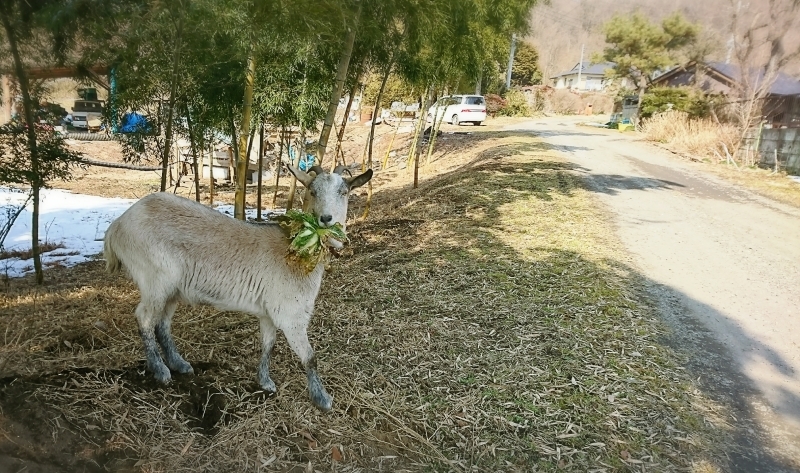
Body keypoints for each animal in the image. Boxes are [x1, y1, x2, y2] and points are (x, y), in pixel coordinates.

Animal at [102, 165, 372, 410]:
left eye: (344, 192)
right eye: (312, 191)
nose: (325, 219)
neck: (298, 248)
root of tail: (117, 226)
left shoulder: (269, 313)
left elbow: (268, 344)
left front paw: (265, 381)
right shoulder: (290, 314)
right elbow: (310, 357)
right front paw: (322, 398)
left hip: (171, 289)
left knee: (162, 323)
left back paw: (179, 364)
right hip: (154, 278)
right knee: (145, 318)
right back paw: (160, 370)